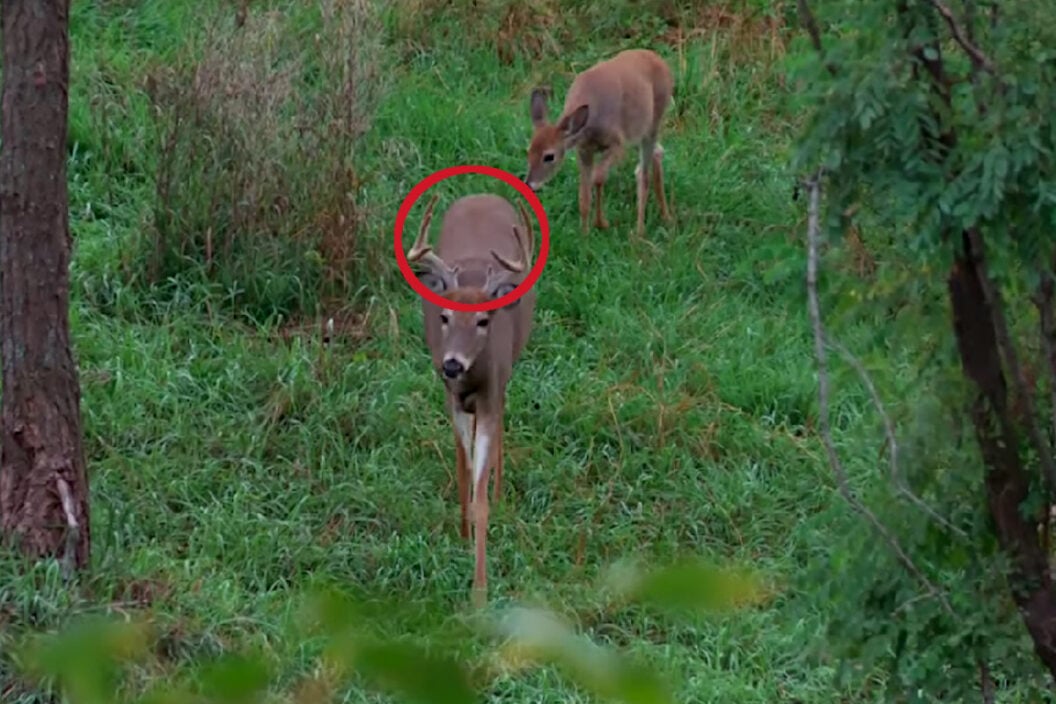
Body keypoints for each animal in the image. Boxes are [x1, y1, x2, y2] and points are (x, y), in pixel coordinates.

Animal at [403, 191, 536, 607]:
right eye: (444, 316)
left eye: (482, 320)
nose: (451, 364)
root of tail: (482, 194)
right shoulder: (454, 399)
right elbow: (463, 466)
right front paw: (461, 535)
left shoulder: (492, 391)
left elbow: (481, 496)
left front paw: (479, 592)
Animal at [521, 49, 675, 238]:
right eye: (528, 151)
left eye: (549, 156)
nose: (529, 184)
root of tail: (660, 60)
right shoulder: (584, 151)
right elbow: (584, 194)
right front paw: (584, 233)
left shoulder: (617, 143)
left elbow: (599, 177)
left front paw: (601, 223)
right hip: (638, 132)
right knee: (657, 152)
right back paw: (665, 217)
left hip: (654, 121)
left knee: (643, 173)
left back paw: (639, 232)